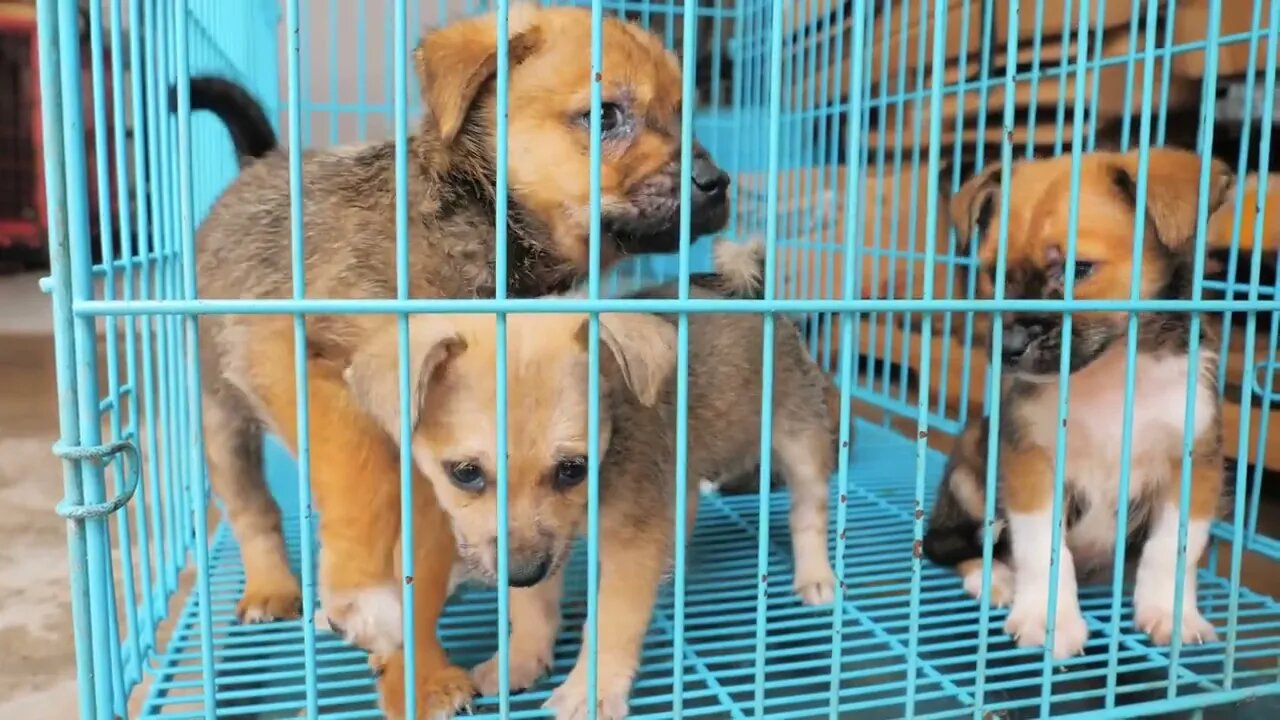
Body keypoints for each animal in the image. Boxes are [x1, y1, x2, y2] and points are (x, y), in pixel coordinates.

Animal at [189, 4, 732, 712]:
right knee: (252, 506)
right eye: (605, 115)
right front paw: (363, 597)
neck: (482, 223)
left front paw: (418, 675)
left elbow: (424, 558)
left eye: (684, 111)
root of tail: (260, 164)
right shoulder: (292, 354)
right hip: (221, 417)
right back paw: (271, 586)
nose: (718, 184)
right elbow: (356, 472)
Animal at [926, 146, 1233, 655]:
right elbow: (1043, 552)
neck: (1109, 373)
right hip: (970, 465)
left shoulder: (1193, 468)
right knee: (956, 544)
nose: (1009, 346)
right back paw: (994, 579)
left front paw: (1171, 614)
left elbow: (1173, 552)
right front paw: (1047, 617)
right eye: (992, 273)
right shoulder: (1032, 466)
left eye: (1077, 270)